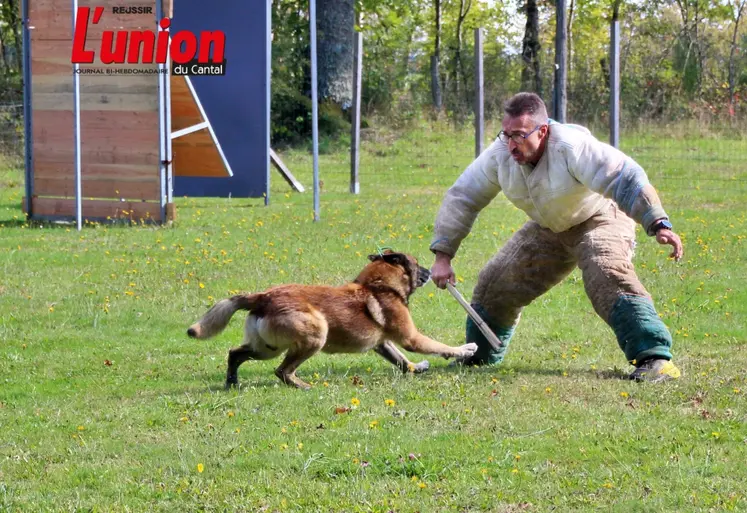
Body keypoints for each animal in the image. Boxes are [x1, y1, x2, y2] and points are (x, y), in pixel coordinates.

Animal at [187, 249, 480, 388]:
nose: (431, 273)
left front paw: (416, 368)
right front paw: (464, 349)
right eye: (417, 264)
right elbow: (439, 346)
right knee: (282, 371)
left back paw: (232, 382)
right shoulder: (412, 338)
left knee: (235, 353)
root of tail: (262, 297)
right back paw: (302, 386)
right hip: (315, 333)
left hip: (267, 347)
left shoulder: (382, 343)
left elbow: (400, 360)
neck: (379, 286)